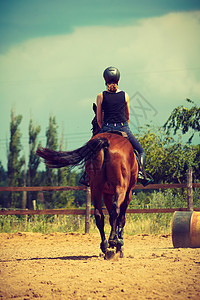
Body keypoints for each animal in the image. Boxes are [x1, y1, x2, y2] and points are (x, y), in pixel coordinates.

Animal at [36, 105, 138, 258]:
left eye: (93, 123)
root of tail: (106, 142)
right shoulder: (128, 192)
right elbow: (121, 217)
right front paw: (119, 244)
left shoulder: (106, 193)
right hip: (120, 188)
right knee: (115, 211)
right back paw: (112, 241)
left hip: (96, 187)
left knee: (99, 215)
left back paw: (105, 246)